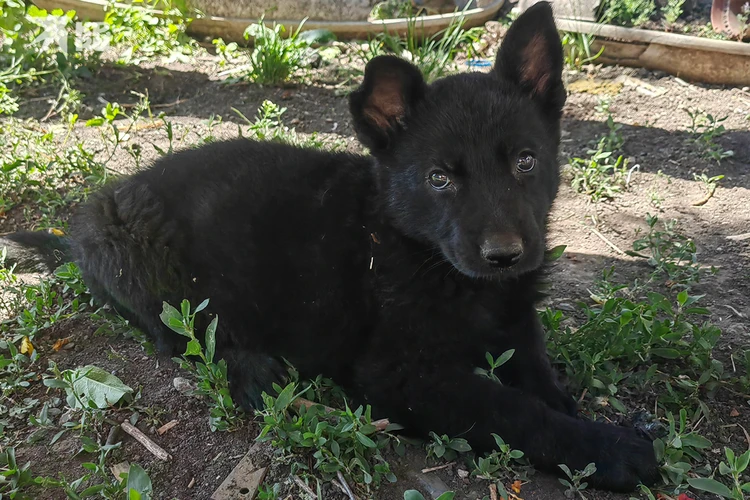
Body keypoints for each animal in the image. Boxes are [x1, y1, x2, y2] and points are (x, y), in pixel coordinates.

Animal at [0, 0, 656, 492]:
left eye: (526, 161)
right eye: (439, 179)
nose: (506, 256)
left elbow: (538, 374)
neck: (424, 257)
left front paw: (574, 412)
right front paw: (609, 448)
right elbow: (509, 409)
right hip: (148, 269)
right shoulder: (399, 376)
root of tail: (87, 224)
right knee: (185, 336)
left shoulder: (516, 323)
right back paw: (255, 372)